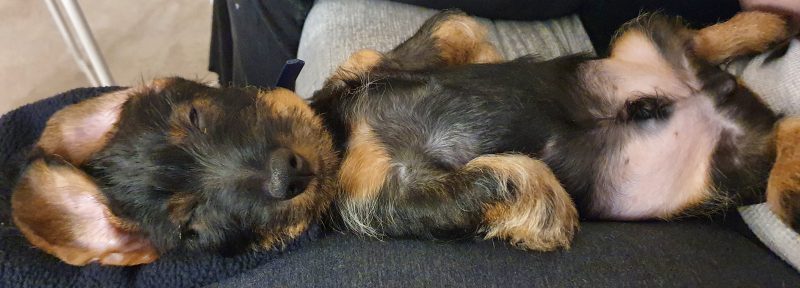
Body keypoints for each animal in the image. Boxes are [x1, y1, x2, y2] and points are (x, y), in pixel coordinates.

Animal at [310, 10, 796, 250]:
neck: (342, 132)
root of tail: (721, 95)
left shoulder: (375, 63)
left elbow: (453, 26)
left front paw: (490, 57)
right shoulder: (393, 200)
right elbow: (500, 175)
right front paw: (551, 218)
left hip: (639, 41)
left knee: (698, 41)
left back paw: (766, 25)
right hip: (729, 170)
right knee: (781, 144)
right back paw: (791, 181)